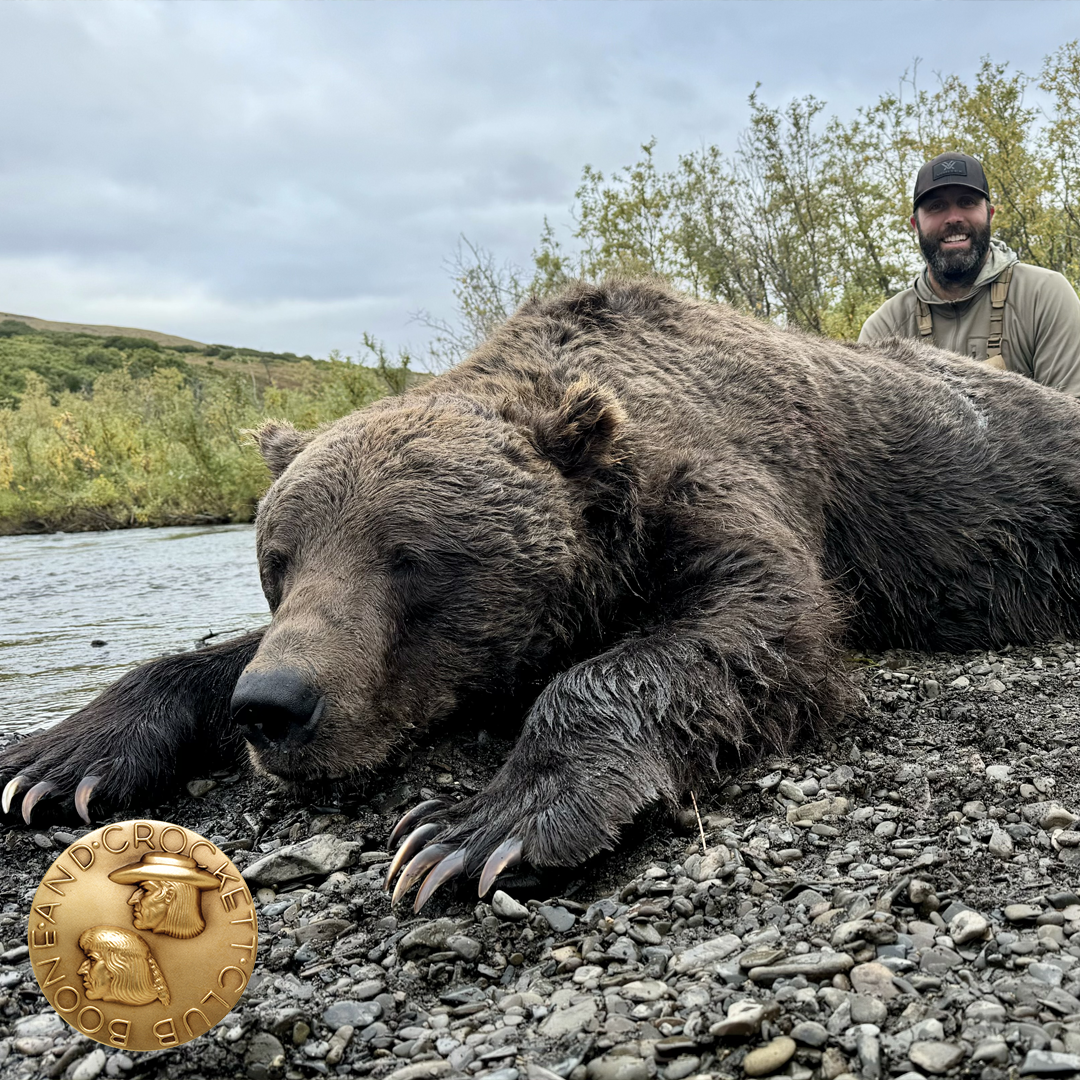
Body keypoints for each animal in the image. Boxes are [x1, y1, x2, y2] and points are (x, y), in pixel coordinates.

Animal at [5, 278, 1080, 910]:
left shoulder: (723, 482)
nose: (275, 707)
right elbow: (198, 657)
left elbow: (762, 625)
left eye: (410, 558)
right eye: (279, 558)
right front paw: (55, 757)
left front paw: (473, 828)